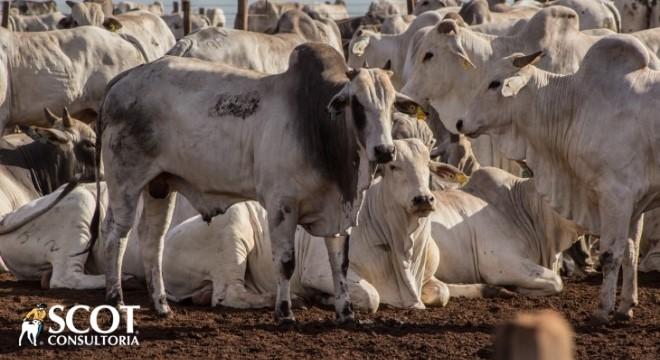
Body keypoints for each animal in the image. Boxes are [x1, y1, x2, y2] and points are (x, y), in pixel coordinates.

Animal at [456, 35, 660, 324]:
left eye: (495, 83)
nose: (460, 123)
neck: (575, 107)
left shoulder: (616, 195)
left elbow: (611, 254)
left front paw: (602, 311)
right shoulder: (636, 201)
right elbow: (630, 253)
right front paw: (625, 307)